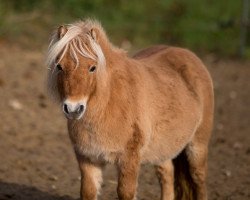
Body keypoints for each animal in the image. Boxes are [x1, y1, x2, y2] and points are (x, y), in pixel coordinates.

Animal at [46, 19, 214, 200]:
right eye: (59, 66)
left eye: (92, 67)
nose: (73, 109)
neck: (108, 105)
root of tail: (187, 53)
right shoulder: (87, 159)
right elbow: (88, 191)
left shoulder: (129, 159)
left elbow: (125, 192)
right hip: (162, 148)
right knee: (167, 175)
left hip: (197, 146)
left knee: (199, 179)